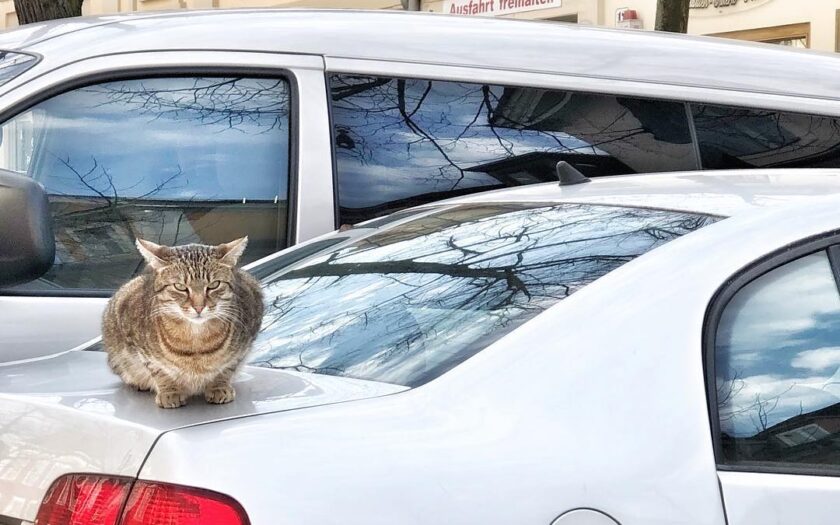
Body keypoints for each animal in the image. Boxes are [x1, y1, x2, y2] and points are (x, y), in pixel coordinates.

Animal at [103, 237, 264, 410]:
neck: (196, 341)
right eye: (180, 287)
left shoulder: (246, 341)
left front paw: (219, 387)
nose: (199, 307)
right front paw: (169, 392)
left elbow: (227, 368)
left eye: (214, 285)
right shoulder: (137, 342)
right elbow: (158, 370)